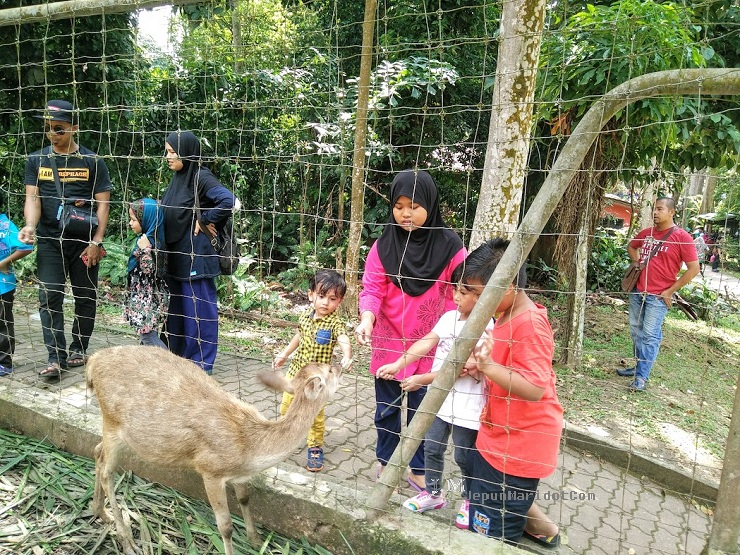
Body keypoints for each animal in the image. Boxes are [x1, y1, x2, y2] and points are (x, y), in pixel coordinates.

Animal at [86, 348, 342, 555]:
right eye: (329, 369)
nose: (340, 365)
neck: (250, 446)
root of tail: (93, 361)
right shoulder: (210, 470)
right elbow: (225, 526)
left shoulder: (240, 475)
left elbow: (246, 499)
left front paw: (256, 541)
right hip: (112, 422)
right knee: (107, 472)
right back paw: (126, 540)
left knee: (97, 452)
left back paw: (100, 512)